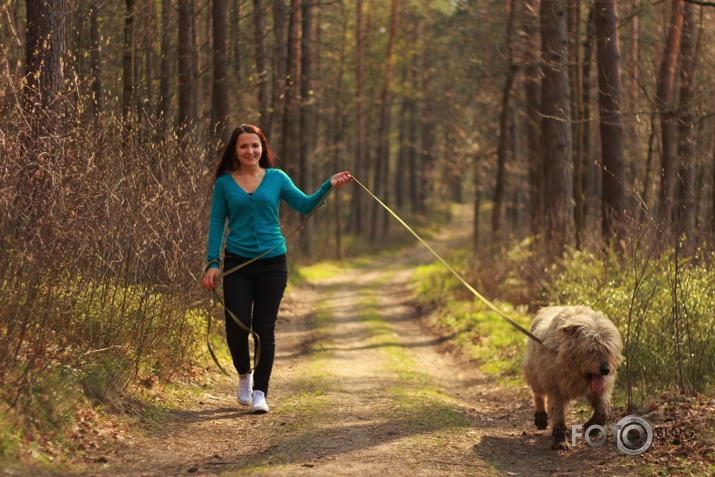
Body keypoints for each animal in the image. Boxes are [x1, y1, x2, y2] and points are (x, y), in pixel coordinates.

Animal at [524, 306, 624, 448]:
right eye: (592, 350)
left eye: (608, 349)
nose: (606, 370)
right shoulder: (556, 388)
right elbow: (558, 413)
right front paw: (560, 439)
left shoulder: (599, 389)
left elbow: (603, 409)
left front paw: (592, 426)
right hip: (535, 372)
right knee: (538, 394)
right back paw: (541, 417)